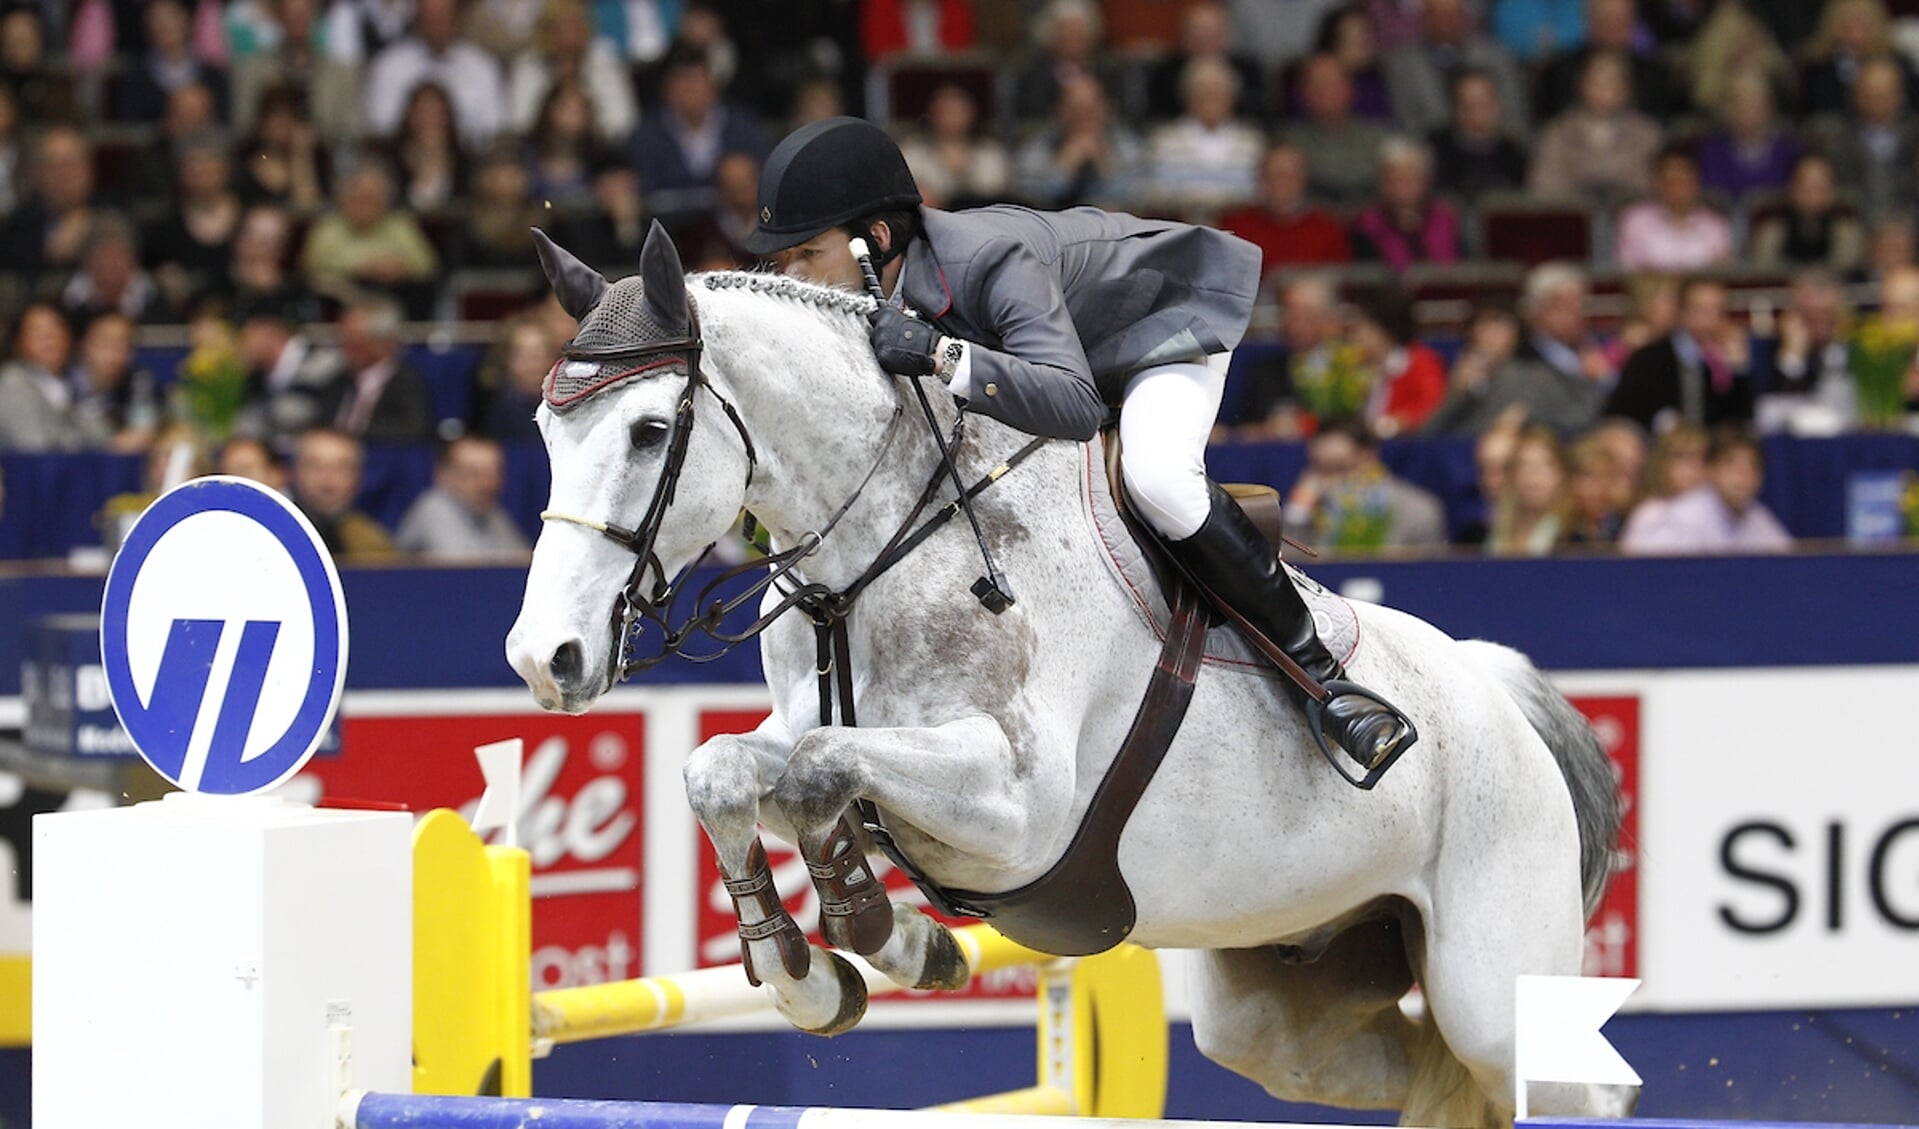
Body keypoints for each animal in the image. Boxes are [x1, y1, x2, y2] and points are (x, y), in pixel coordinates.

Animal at [502, 224, 1627, 1121]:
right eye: (544, 430)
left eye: (650, 430)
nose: (543, 660)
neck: (886, 541)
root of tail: (1500, 695)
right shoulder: (821, 732)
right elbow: (733, 770)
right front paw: (815, 968)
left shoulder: (1022, 809)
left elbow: (820, 767)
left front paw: (870, 928)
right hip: (1283, 990)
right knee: (1409, 1068)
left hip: (1492, 979)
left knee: (1556, 1076)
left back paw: (1365, 724)